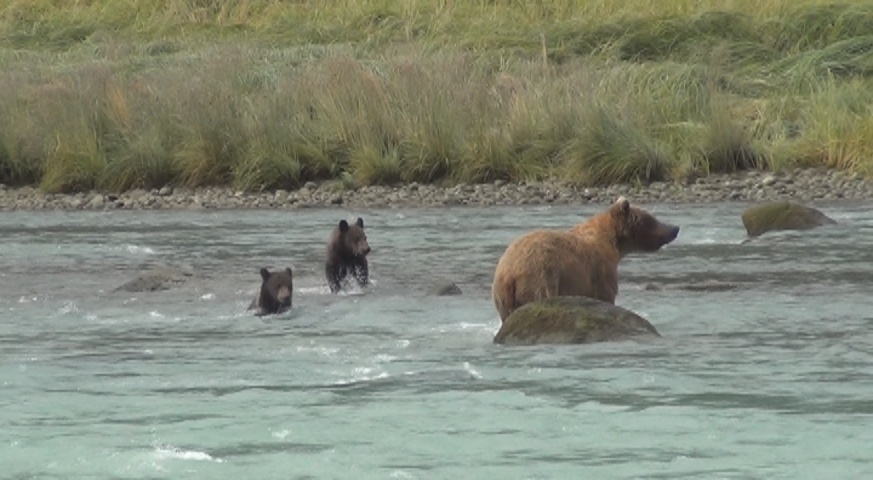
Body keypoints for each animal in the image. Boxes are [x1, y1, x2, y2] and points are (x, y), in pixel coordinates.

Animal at [490, 195, 680, 322]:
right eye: (652, 219)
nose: (675, 228)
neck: (612, 243)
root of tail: (508, 274)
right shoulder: (601, 271)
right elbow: (606, 295)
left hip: (501, 296)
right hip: (539, 277)